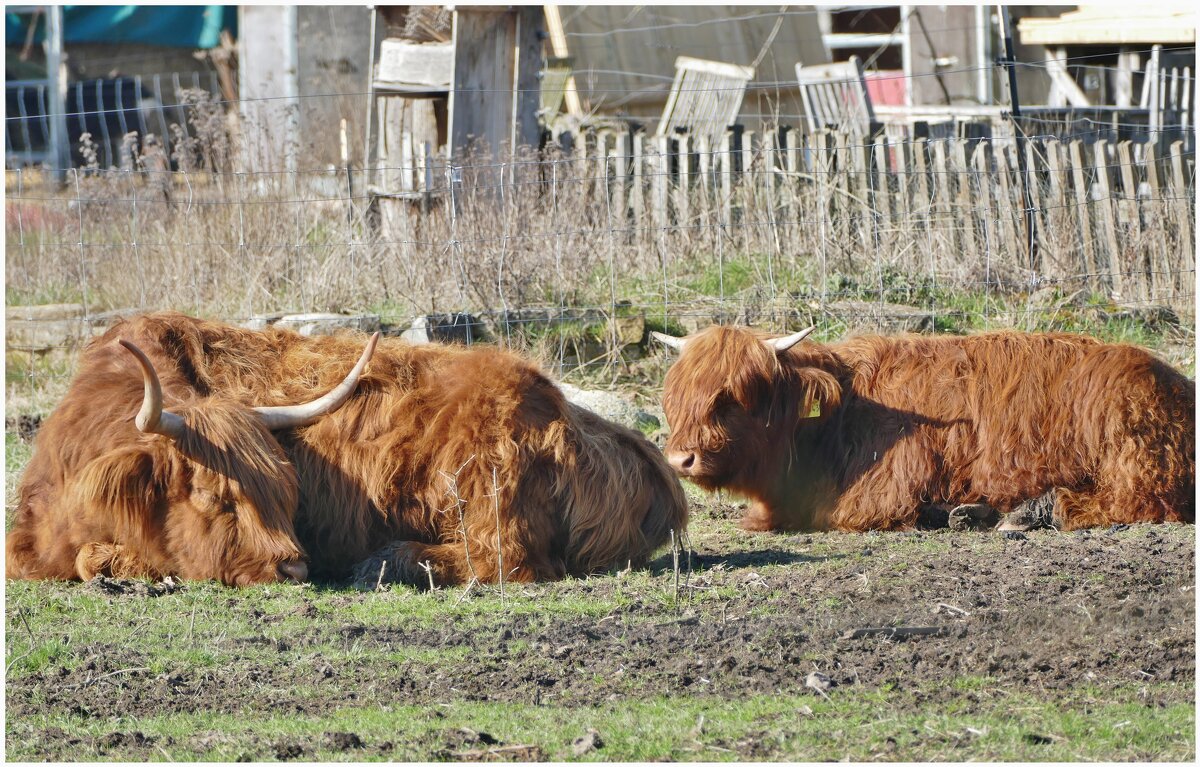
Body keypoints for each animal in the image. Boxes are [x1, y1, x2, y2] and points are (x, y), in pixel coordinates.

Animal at [652, 326, 1195, 532]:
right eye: (676, 398)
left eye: (734, 398)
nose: (680, 459)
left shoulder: (883, 490)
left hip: (1132, 455)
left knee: (1136, 504)